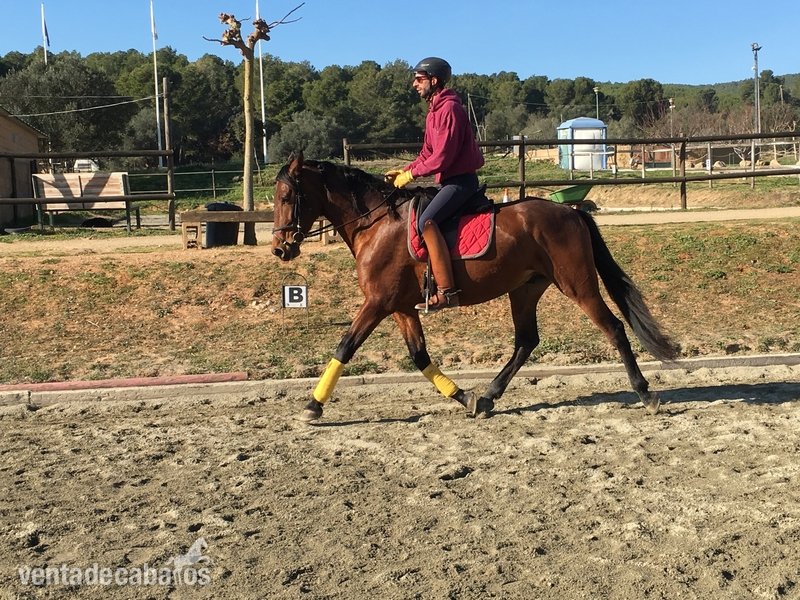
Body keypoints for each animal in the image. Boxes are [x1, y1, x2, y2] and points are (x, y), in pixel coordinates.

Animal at [272, 152, 678, 422]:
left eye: (287, 197)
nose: (280, 249)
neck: (376, 223)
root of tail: (572, 211)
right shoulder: (399, 306)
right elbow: (420, 356)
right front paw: (464, 397)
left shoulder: (378, 302)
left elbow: (345, 346)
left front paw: (312, 405)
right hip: (525, 289)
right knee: (526, 341)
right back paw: (488, 397)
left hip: (578, 285)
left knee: (614, 328)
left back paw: (645, 393)